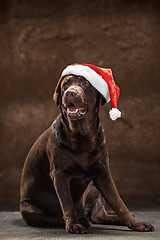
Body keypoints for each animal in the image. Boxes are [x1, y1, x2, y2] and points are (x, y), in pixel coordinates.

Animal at [20, 62, 154, 233]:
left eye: (85, 84)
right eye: (65, 84)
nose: (70, 93)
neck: (82, 136)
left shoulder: (103, 174)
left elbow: (119, 203)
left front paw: (135, 223)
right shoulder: (59, 174)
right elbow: (67, 203)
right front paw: (73, 224)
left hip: (93, 188)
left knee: (98, 215)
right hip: (30, 209)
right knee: (63, 216)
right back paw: (82, 220)